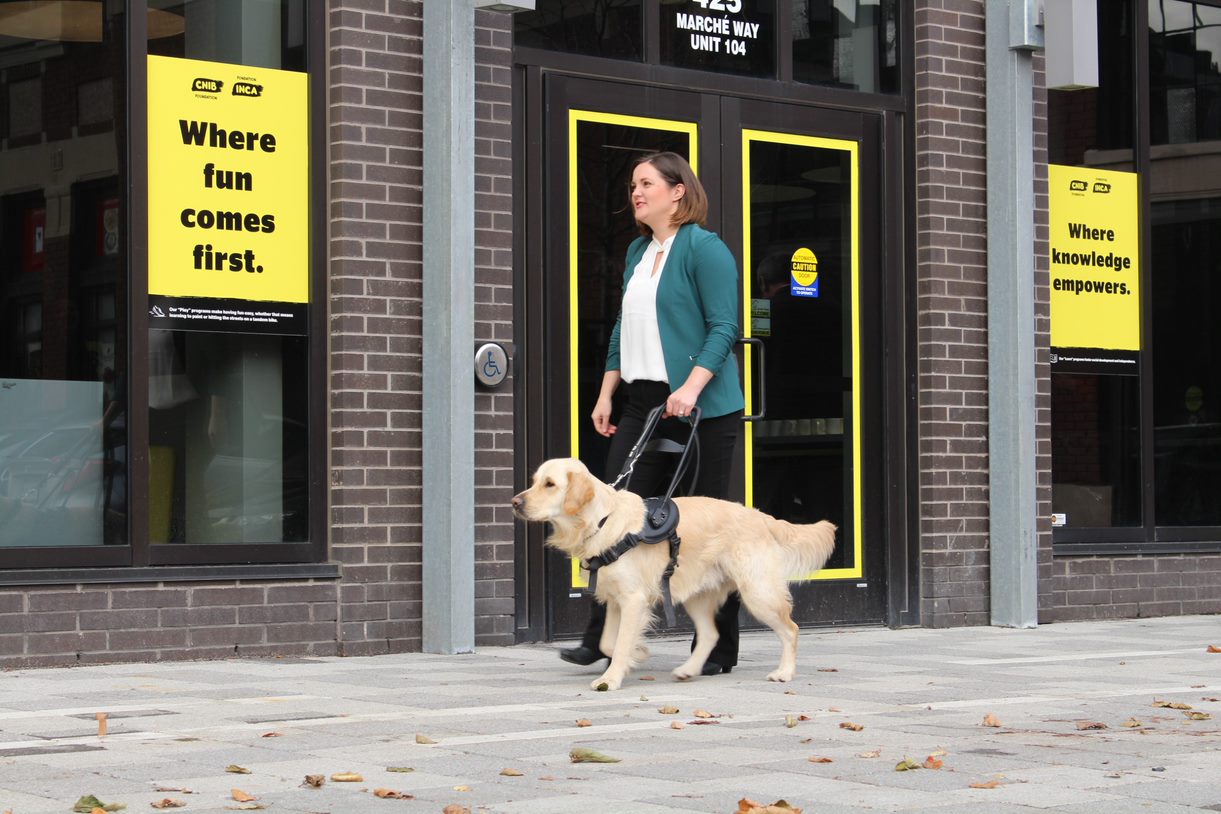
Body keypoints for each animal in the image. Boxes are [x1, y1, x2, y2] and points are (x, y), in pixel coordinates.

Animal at [510, 458, 835, 688]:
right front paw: (638, 653)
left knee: (791, 629)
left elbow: (620, 642)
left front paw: (610, 679)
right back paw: (689, 670)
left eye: (550, 484)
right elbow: (607, 642)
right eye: (535, 481)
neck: (602, 521)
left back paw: (784, 672)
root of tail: (760, 516)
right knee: (710, 633)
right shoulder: (615, 600)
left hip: (758, 592)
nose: (515, 502)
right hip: (697, 594)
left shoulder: (633, 599)